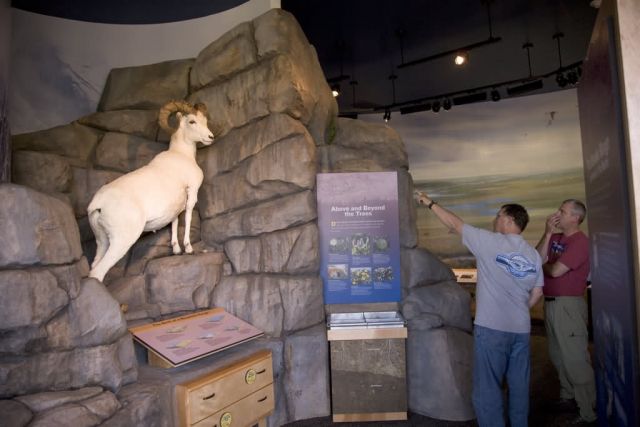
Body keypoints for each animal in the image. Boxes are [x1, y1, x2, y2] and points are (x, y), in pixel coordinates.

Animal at [87, 98, 215, 282]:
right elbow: (188, 216)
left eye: (204, 120)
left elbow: (175, 220)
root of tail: (98, 204)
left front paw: (176, 249)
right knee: (98, 272)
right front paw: (188, 248)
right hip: (121, 241)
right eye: (192, 121)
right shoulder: (192, 191)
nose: (211, 137)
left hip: (102, 241)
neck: (182, 154)